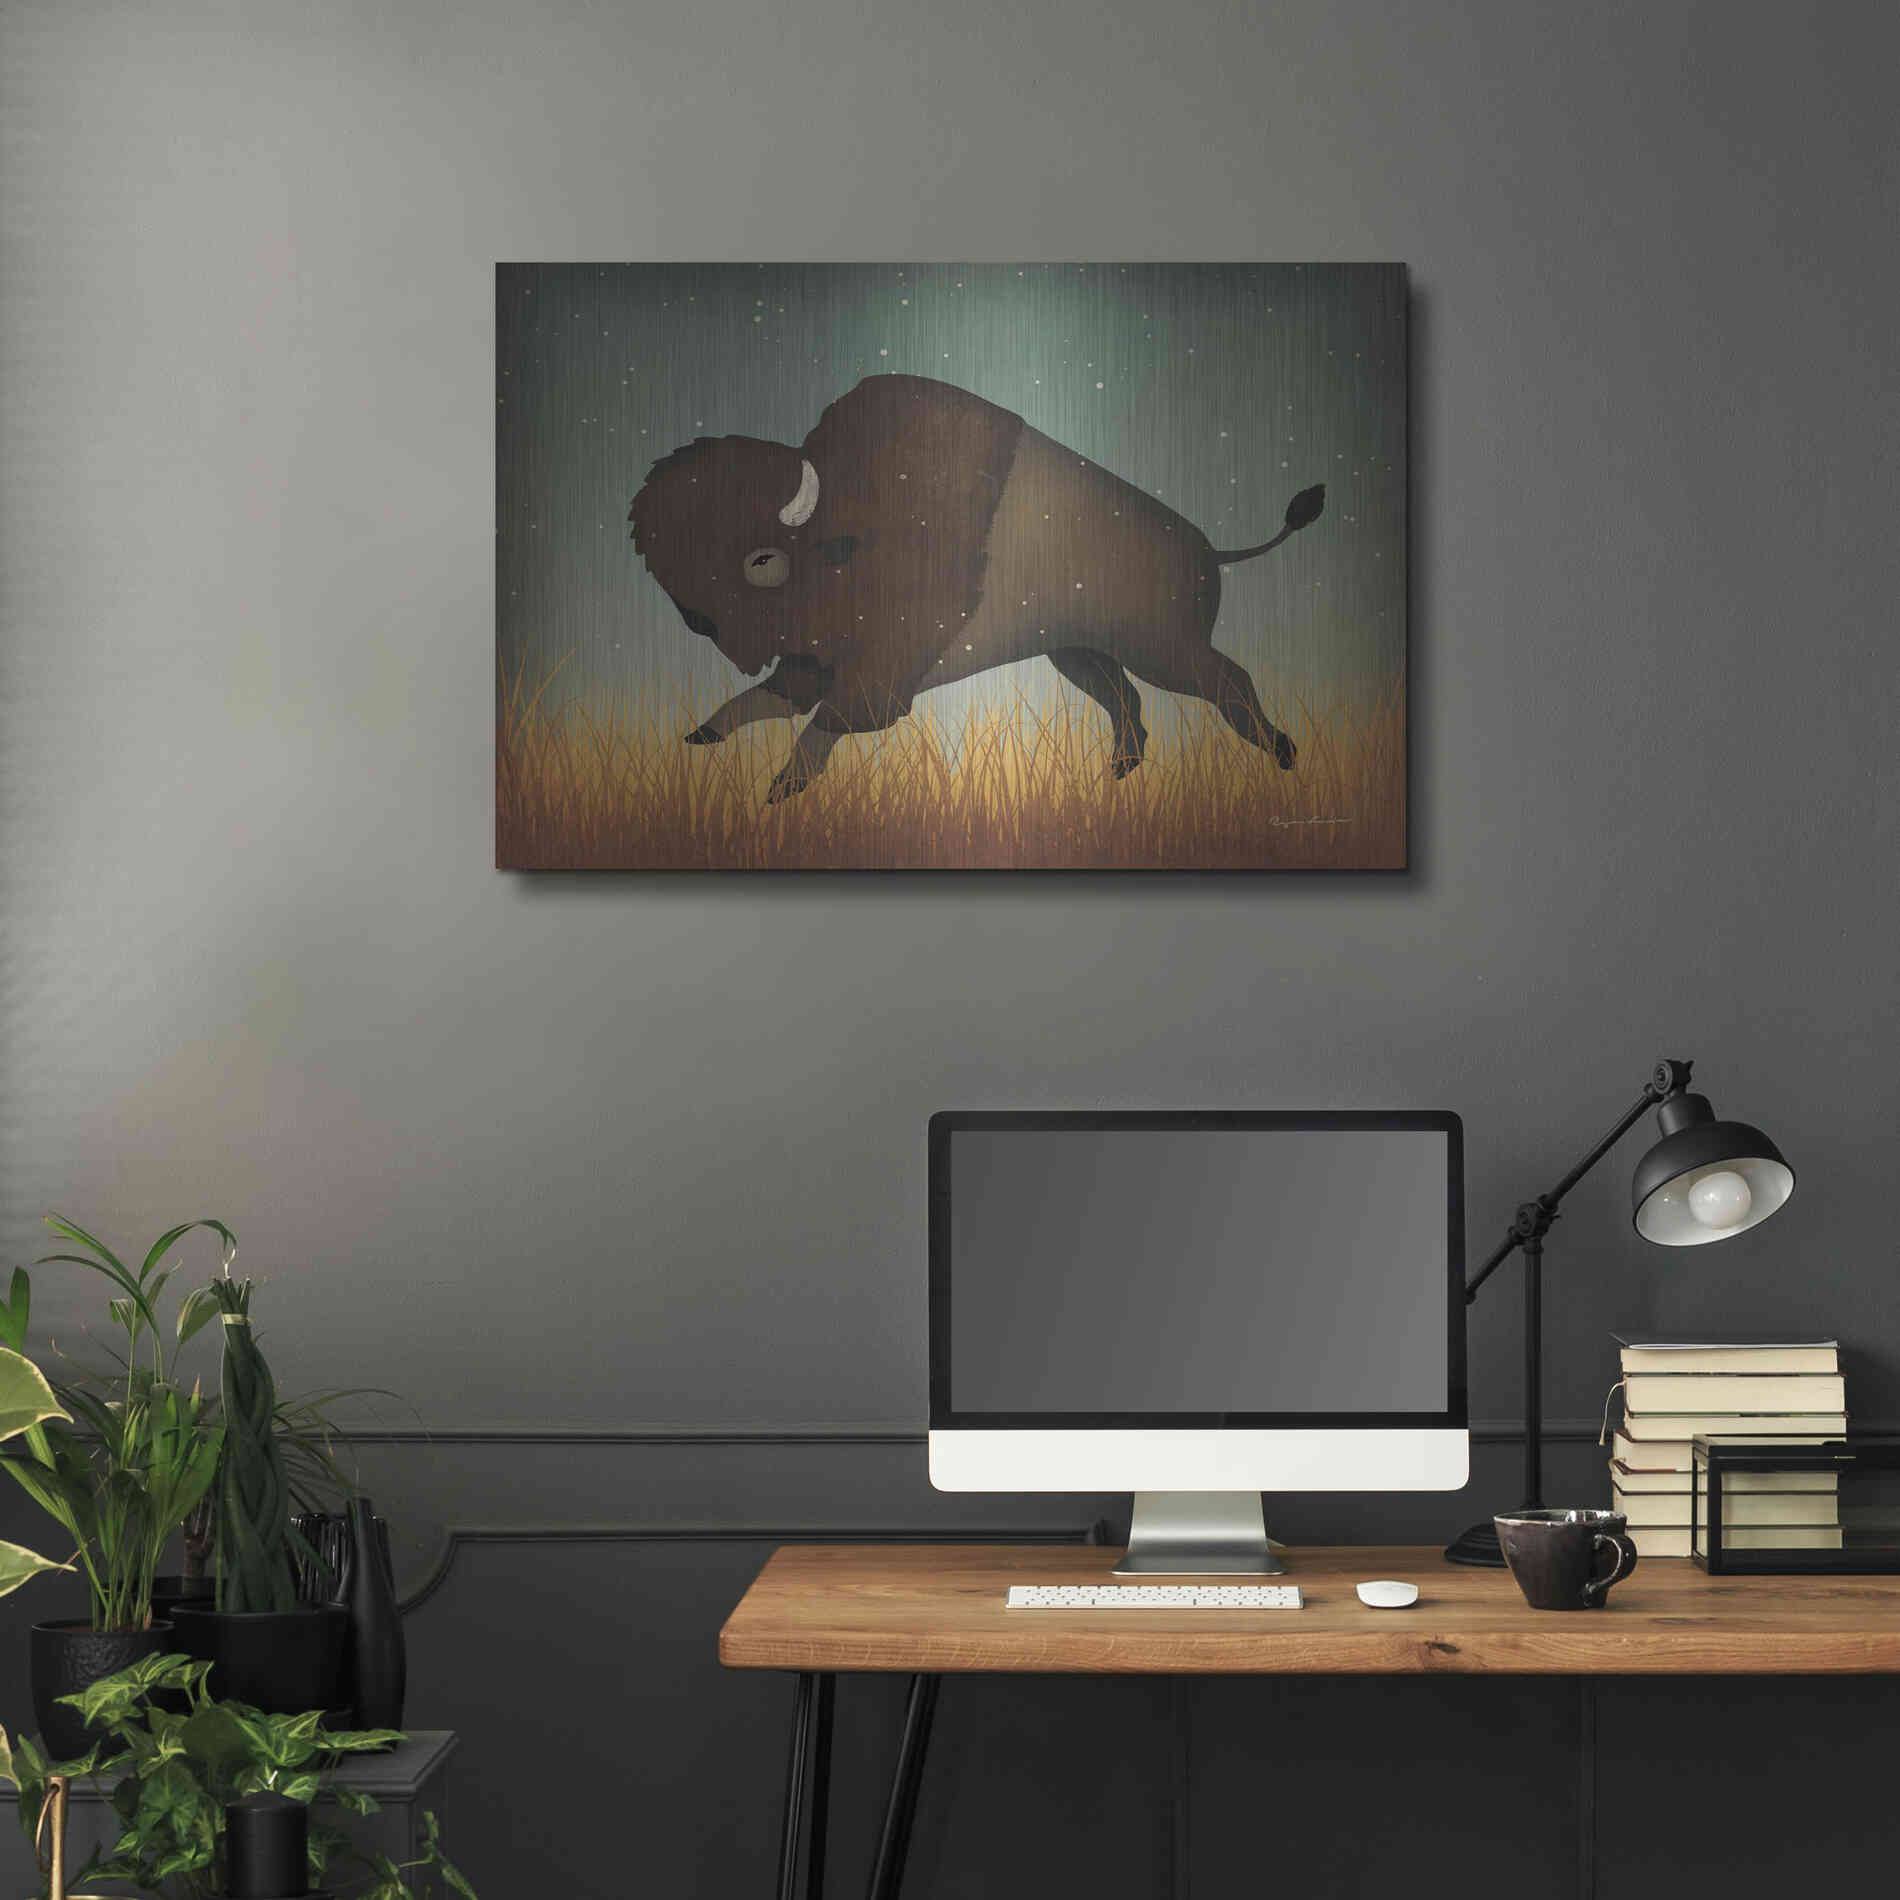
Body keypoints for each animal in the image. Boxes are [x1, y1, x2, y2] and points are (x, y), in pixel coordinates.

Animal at [628, 374, 1324, 803]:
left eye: (763, 560)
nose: (697, 621)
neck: (851, 524)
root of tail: (1209, 549)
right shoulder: (813, 660)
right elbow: (767, 700)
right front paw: (701, 735)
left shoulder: (880, 674)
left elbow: (827, 722)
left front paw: (781, 789)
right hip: (1077, 654)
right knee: (1124, 699)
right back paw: (1120, 773)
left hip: (1163, 651)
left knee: (1226, 681)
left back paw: (1285, 753)